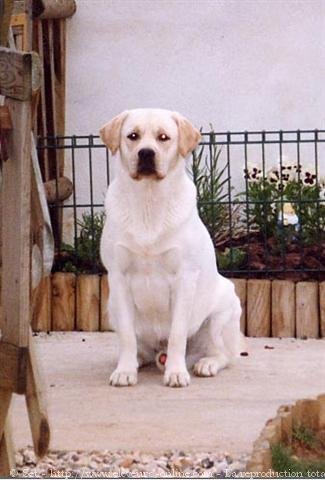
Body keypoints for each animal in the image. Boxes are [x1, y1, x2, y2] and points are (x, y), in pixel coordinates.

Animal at [98, 108, 240, 386]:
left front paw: (175, 372)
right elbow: (127, 336)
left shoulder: (184, 277)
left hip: (223, 310)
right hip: (111, 308)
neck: (148, 200)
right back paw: (136, 360)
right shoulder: (118, 276)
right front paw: (125, 371)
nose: (146, 153)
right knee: (138, 346)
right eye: (133, 136)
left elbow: (177, 334)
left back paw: (206, 364)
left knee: (224, 355)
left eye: (163, 137)